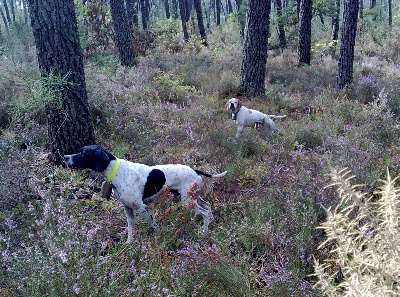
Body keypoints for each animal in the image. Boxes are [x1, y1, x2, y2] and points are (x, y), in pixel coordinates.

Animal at [64, 145, 227, 242]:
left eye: (83, 153)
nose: (65, 157)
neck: (117, 171)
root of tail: (196, 170)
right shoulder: (128, 209)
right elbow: (131, 228)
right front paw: (129, 244)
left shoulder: (142, 208)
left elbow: (153, 224)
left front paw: (159, 235)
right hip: (192, 197)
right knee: (208, 207)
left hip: (188, 202)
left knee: (204, 213)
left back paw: (204, 231)